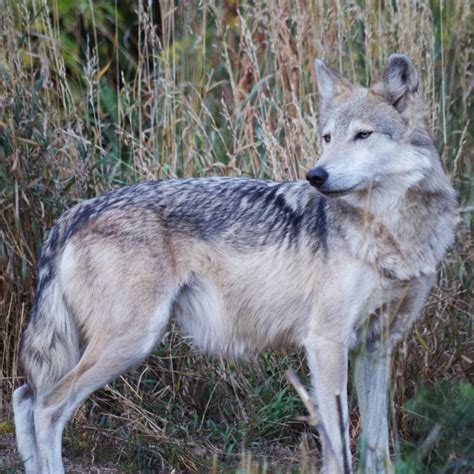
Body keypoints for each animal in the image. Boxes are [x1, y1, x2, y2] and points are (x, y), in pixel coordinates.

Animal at [12, 52, 458, 474]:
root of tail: (76, 212)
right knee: (46, 407)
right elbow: (339, 450)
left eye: (363, 135)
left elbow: (377, 447)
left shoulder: (377, 347)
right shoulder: (326, 342)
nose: (315, 175)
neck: (390, 232)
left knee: (23, 397)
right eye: (328, 137)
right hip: (131, 341)